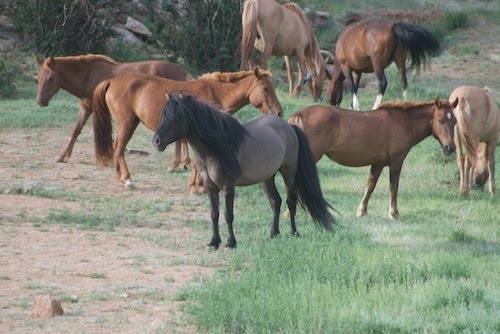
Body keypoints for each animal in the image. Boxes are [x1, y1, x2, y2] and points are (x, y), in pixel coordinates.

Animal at [35, 54, 191, 167]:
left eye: (51, 78)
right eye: (38, 78)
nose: (40, 100)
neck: (89, 76)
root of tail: (183, 71)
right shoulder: (86, 109)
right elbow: (75, 131)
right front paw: (62, 155)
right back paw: (183, 163)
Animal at [93, 68, 282, 189]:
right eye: (265, 89)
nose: (279, 112)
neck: (216, 94)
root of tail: (111, 81)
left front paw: (197, 184)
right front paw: (196, 186)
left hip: (132, 123)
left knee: (118, 148)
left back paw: (119, 176)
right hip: (126, 122)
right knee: (119, 148)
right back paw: (127, 180)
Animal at [150, 92, 334, 249]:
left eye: (177, 116)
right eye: (163, 114)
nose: (156, 141)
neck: (214, 149)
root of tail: (289, 127)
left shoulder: (228, 186)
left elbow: (228, 215)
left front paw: (231, 243)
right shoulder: (211, 187)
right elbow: (214, 214)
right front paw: (214, 242)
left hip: (289, 174)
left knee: (291, 201)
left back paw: (294, 232)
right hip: (267, 178)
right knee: (276, 201)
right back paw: (273, 234)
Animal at [290, 98, 458, 220]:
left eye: (455, 121)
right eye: (440, 120)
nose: (450, 147)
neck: (403, 122)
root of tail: (298, 114)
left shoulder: (377, 163)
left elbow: (370, 186)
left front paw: (362, 212)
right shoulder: (396, 162)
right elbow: (393, 187)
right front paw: (394, 213)